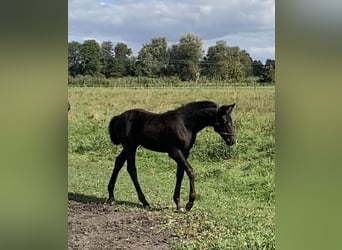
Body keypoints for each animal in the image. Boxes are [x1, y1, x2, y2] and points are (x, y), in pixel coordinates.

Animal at [106, 100, 235, 211]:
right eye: (226, 122)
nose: (232, 141)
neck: (185, 124)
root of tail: (118, 117)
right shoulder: (174, 152)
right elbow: (190, 171)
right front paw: (189, 204)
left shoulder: (185, 152)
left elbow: (180, 174)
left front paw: (178, 203)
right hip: (130, 147)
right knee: (131, 169)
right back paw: (145, 202)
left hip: (130, 147)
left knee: (118, 162)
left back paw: (111, 197)